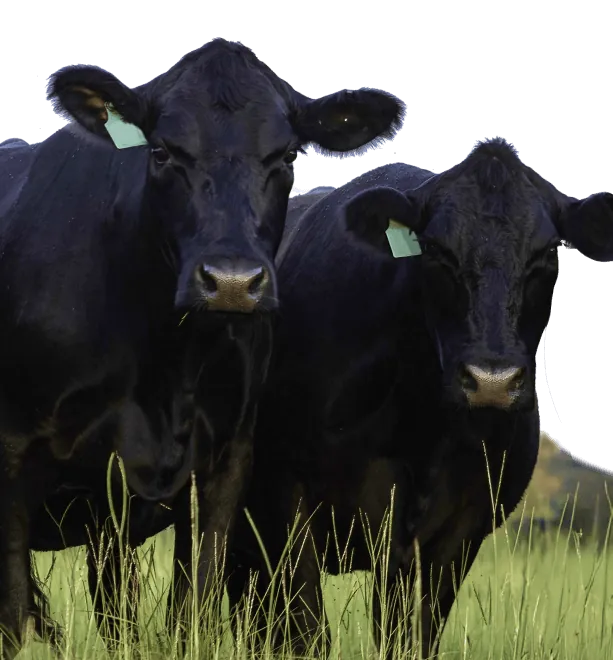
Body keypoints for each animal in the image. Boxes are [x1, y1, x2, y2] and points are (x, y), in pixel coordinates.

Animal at [0, 38, 406, 657]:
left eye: (287, 156)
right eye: (163, 151)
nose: (233, 281)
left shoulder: (222, 461)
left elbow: (192, 607)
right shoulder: (14, 453)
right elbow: (14, 617)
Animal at [225, 138, 613, 658]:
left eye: (549, 251)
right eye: (434, 251)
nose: (492, 379)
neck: (420, 432)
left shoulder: (454, 535)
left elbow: (409, 637)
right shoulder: (284, 504)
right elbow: (306, 633)